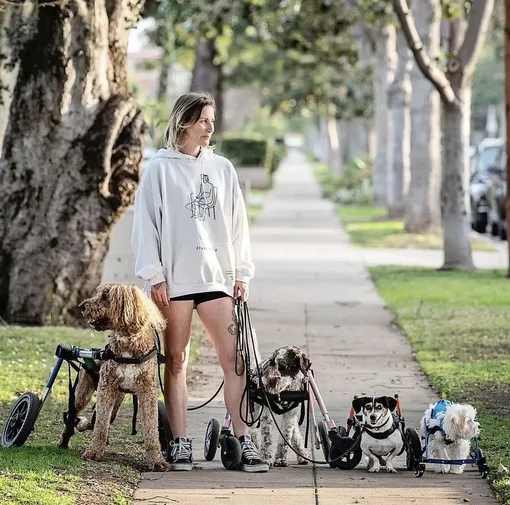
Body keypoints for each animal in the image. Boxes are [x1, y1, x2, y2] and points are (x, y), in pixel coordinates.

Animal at [71, 282, 169, 470]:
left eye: (105, 296)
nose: (81, 306)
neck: (128, 342)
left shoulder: (147, 391)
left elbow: (151, 427)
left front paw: (157, 460)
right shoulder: (106, 386)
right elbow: (100, 423)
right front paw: (93, 451)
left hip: (117, 400)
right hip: (83, 393)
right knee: (74, 414)